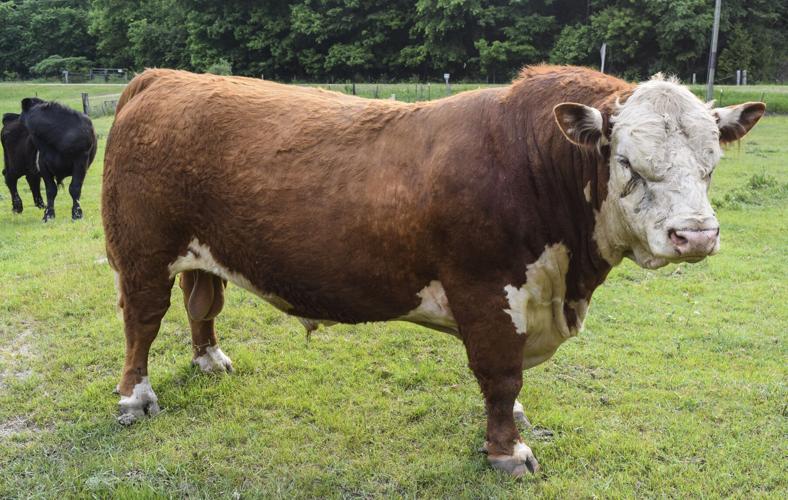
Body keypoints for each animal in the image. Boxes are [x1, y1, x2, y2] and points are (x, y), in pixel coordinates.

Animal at [102, 66, 764, 476]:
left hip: (203, 249)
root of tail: (165, 78)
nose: (696, 235)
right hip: (140, 252)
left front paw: (515, 424)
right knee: (143, 320)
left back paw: (209, 359)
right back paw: (135, 397)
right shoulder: (488, 291)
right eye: (627, 161)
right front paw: (507, 451)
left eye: (711, 162)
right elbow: (501, 377)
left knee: (202, 304)